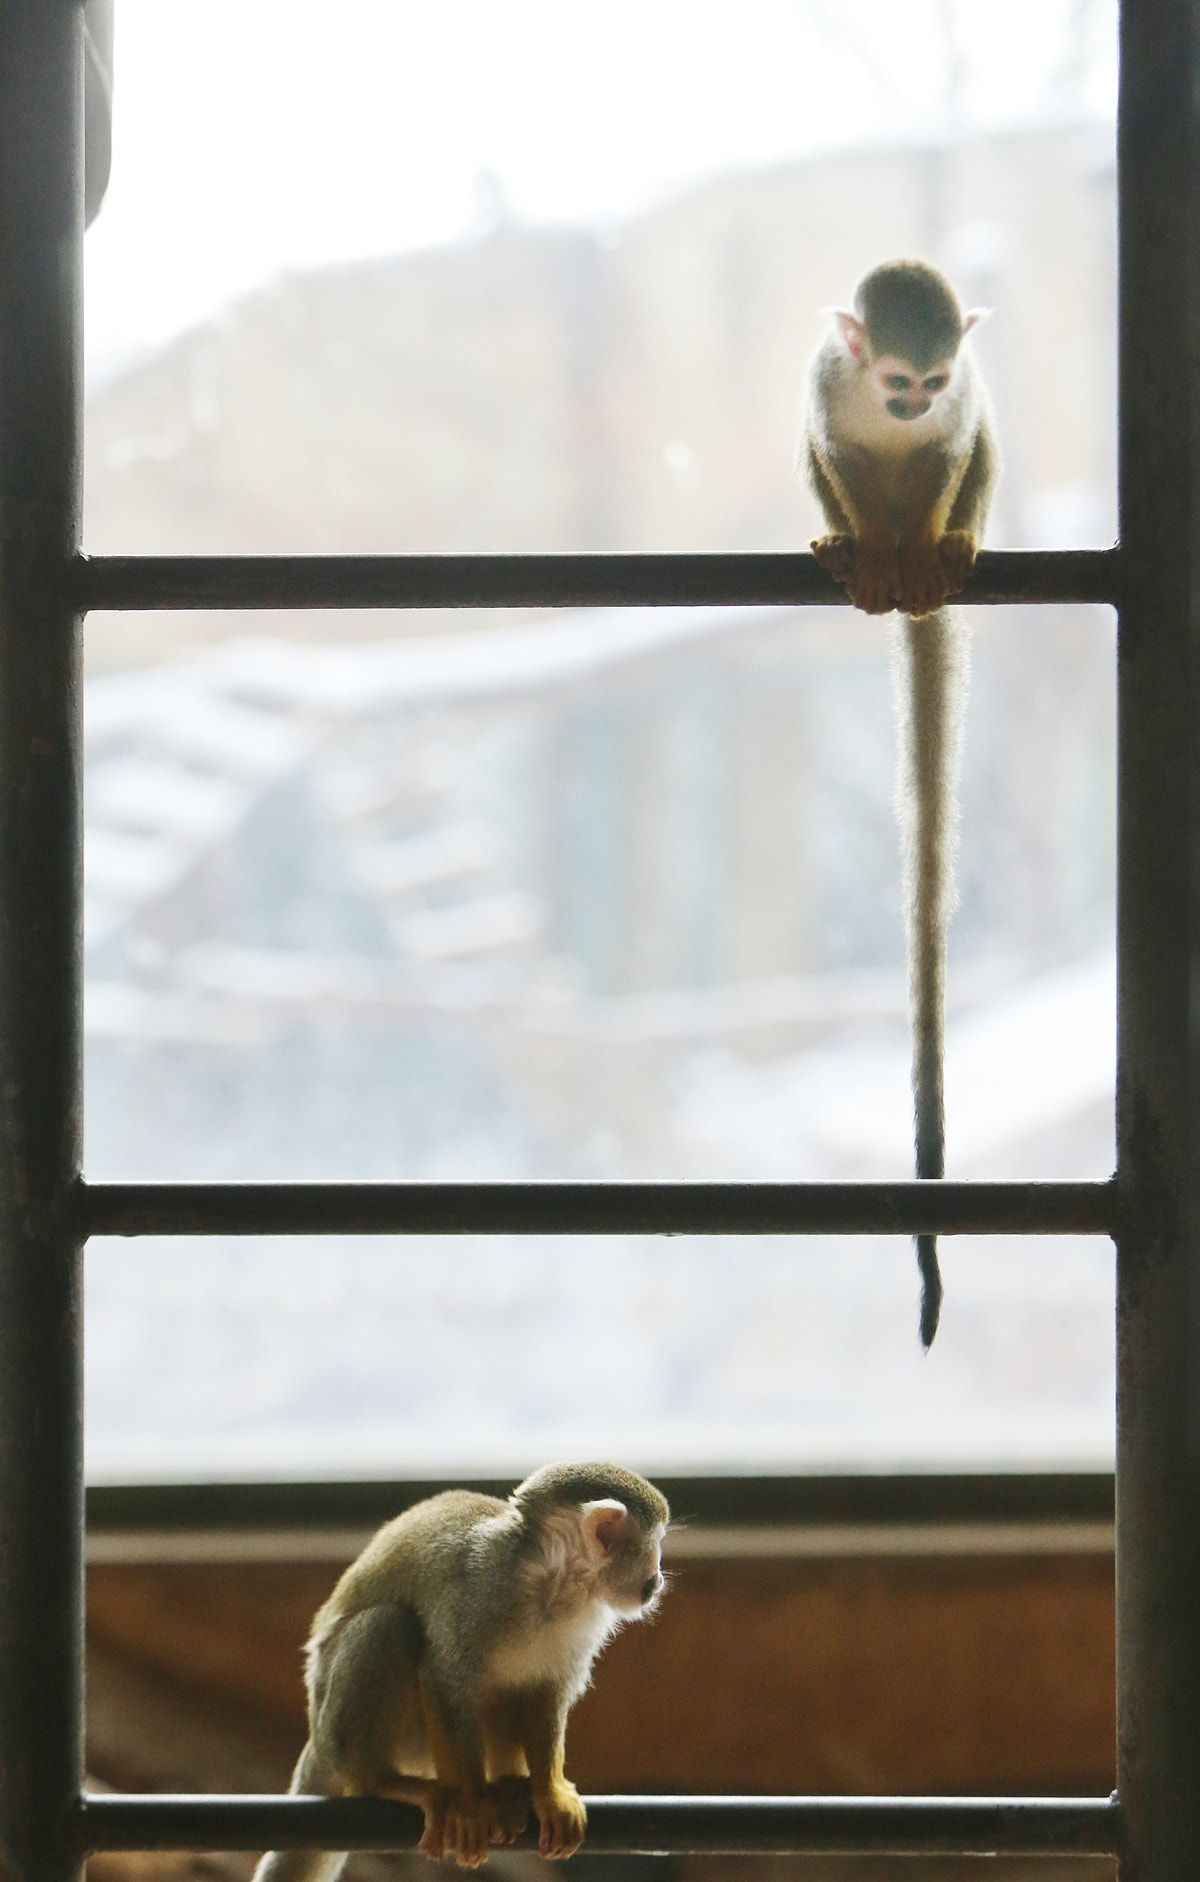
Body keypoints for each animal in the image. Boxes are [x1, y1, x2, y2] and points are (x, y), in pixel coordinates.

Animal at [252, 1463, 669, 1879]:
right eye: (654, 1547)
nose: (659, 1577)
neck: (551, 1586)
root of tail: (316, 1742)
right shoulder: (473, 1590)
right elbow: (446, 1684)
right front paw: (469, 1806)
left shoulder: (582, 1625)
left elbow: (546, 1695)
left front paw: (548, 1792)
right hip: (345, 1731)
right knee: (388, 1626)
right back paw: (378, 1780)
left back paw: (508, 1785)